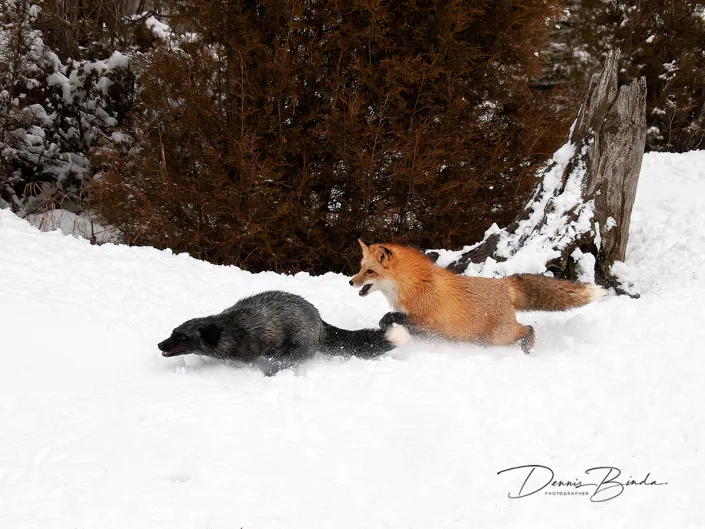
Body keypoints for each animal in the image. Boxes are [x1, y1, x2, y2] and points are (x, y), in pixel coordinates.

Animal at [158, 290, 409, 375]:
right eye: (173, 332)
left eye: (183, 337)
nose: (160, 345)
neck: (227, 328)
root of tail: (320, 322)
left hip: (296, 349)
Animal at [349, 239, 605, 355]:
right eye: (360, 268)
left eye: (369, 272)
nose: (351, 282)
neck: (415, 285)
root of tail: (504, 283)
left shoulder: (428, 321)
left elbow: (391, 317)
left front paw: (386, 323)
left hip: (498, 337)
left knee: (529, 328)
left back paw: (528, 348)